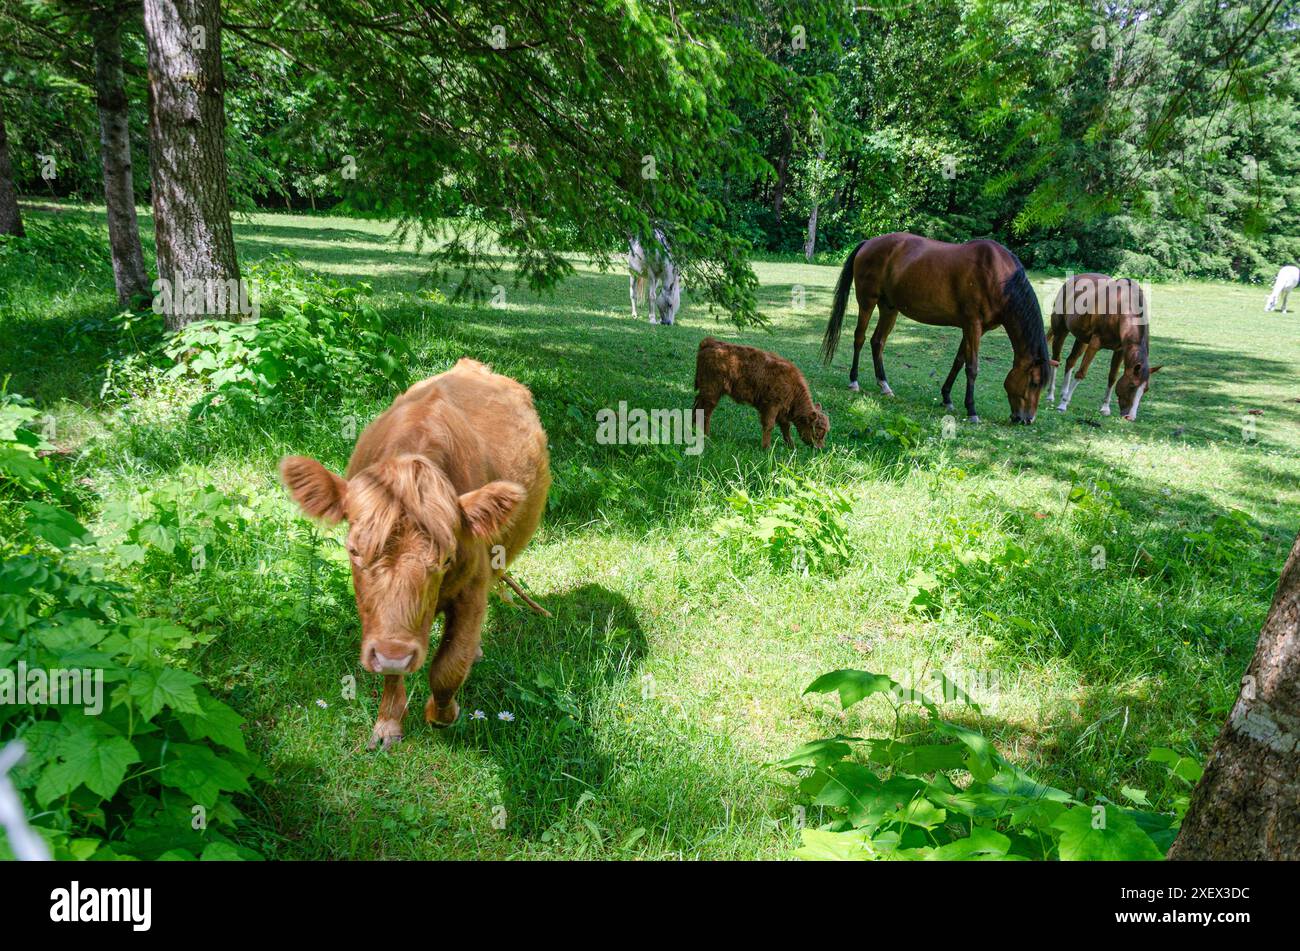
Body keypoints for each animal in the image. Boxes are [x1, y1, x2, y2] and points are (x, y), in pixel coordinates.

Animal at [822, 232, 1053, 424]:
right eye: (1034, 383)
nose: (1027, 419)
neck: (999, 278)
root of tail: (868, 243)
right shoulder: (973, 326)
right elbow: (972, 368)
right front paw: (972, 410)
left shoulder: (971, 328)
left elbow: (959, 362)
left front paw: (947, 398)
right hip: (867, 302)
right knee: (859, 338)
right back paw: (854, 381)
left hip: (889, 308)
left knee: (877, 342)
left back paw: (885, 386)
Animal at [1048, 273, 1161, 421]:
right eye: (1132, 385)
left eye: (1146, 390)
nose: (1130, 417)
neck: (1121, 308)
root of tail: (1073, 278)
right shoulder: (1094, 345)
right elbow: (1081, 373)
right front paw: (1063, 405)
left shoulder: (1119, 351)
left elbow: (1112, 377)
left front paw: (1105, 408)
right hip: (1061, 331)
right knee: (1056, 360)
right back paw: (1051, 395)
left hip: (1082, 339)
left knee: (1070, 361)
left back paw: (1064, 392)